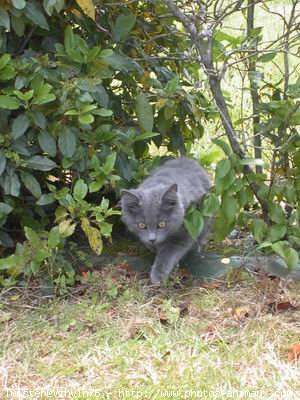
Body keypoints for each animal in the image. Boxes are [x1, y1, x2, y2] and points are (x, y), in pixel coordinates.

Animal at [119, 156, 211, 284]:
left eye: (162, 224)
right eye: (141, 225)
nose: (152, 239)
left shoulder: (184, 232)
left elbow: (167, 254)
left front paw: (158, 276)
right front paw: (154, 248)